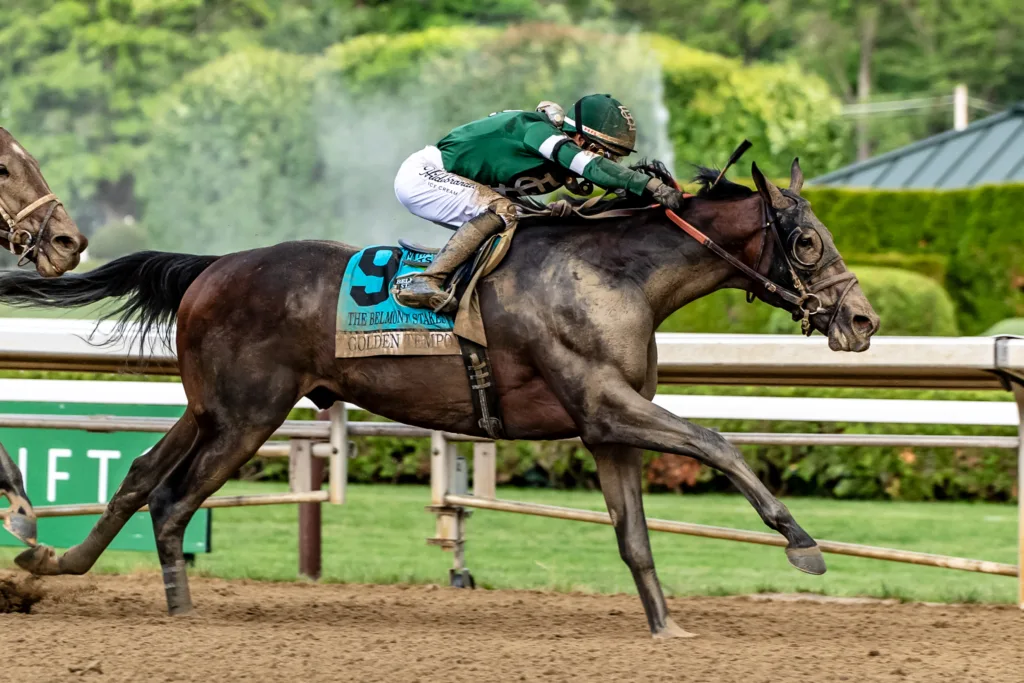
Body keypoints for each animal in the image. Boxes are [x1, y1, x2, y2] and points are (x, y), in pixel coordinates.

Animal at [2, 158, 878, 637]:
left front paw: (667, 623)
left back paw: (45, 563)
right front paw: (803, 542)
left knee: (140, 476)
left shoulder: (607, 429)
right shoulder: (604, 404)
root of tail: (212, 265)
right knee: (175, 499)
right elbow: (720, 443)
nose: (863, 319)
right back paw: (179, 610)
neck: (615, 273)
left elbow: (635, 538)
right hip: (248, 416)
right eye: (807, 241)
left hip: (210, 407)